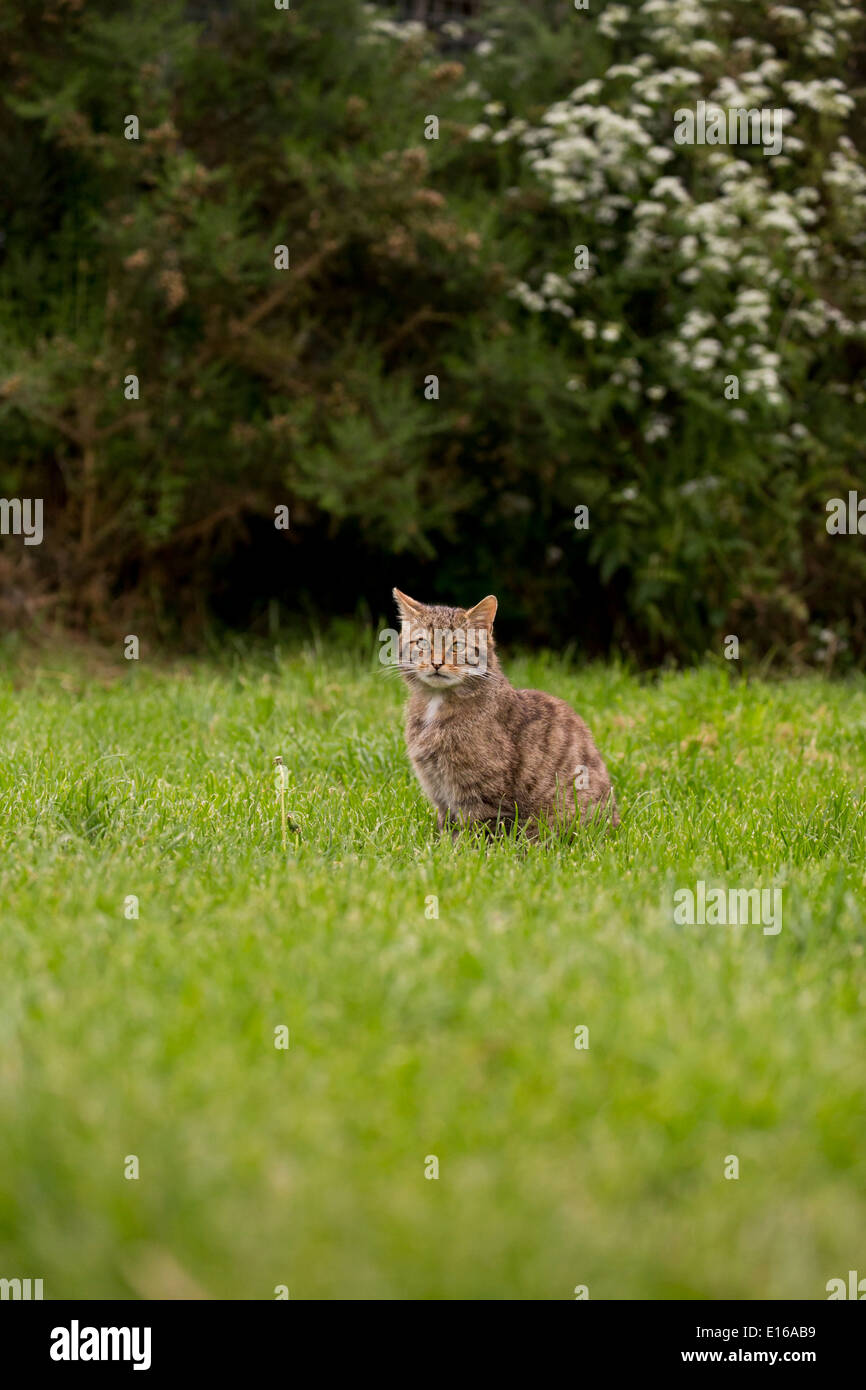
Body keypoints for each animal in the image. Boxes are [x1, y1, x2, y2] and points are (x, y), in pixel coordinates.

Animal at [391, 589, 617, 834]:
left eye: (457, 646)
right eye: (422, 643)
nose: (436, 662)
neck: (437, 704)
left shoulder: (482, 795)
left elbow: (477, 832)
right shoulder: (438, 791)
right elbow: (445, 828)